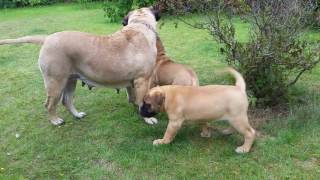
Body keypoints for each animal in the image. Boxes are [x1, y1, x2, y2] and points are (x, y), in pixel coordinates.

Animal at [0, 6, 160, 125]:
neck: (139, 26)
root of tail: (47, 38)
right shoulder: (142, 80)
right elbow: (142, 99)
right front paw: (147, 118)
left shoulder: (132, 81)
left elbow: (132, 96)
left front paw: (135, 107)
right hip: (55, 83)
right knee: (50, 104)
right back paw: (55, 120)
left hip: (70, 80)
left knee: (67, 100)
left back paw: (77, 115)